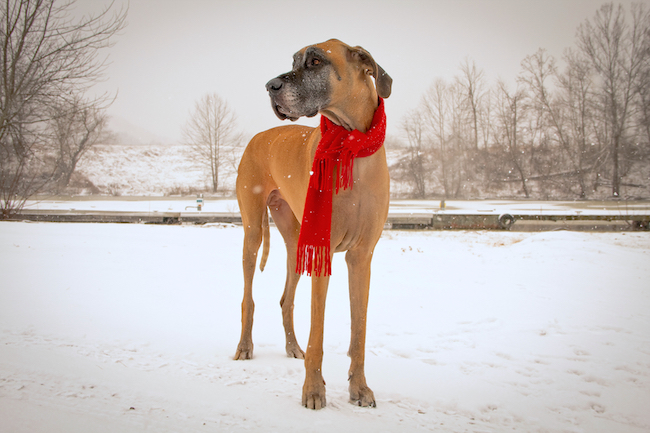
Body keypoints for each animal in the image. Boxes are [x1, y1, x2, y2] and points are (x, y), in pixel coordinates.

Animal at [235, 39, 392, 408]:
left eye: (316, 61)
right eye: (293, 61)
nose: (270, 86)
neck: (351, 149)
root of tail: (258, 136)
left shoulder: (361, 257)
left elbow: (359, 329)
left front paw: (359, 387)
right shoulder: (324, 252)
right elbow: (318, 331)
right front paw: (313, 390)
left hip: (296, 242)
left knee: (286, 300)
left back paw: (293, 347)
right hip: (253, 232)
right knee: (248, 297)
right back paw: (245, 347)